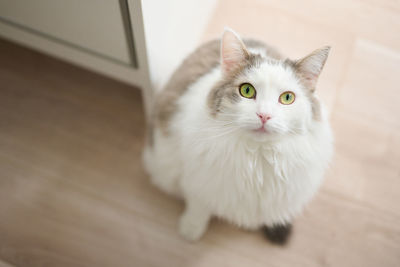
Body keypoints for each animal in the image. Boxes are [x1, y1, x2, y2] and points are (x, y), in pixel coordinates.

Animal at [142, 27, 332, 245]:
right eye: (247, 90)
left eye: (287, 98)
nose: (264, 115)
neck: (257, 159)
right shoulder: (198, 179)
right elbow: (198, 206)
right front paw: (190, 229)